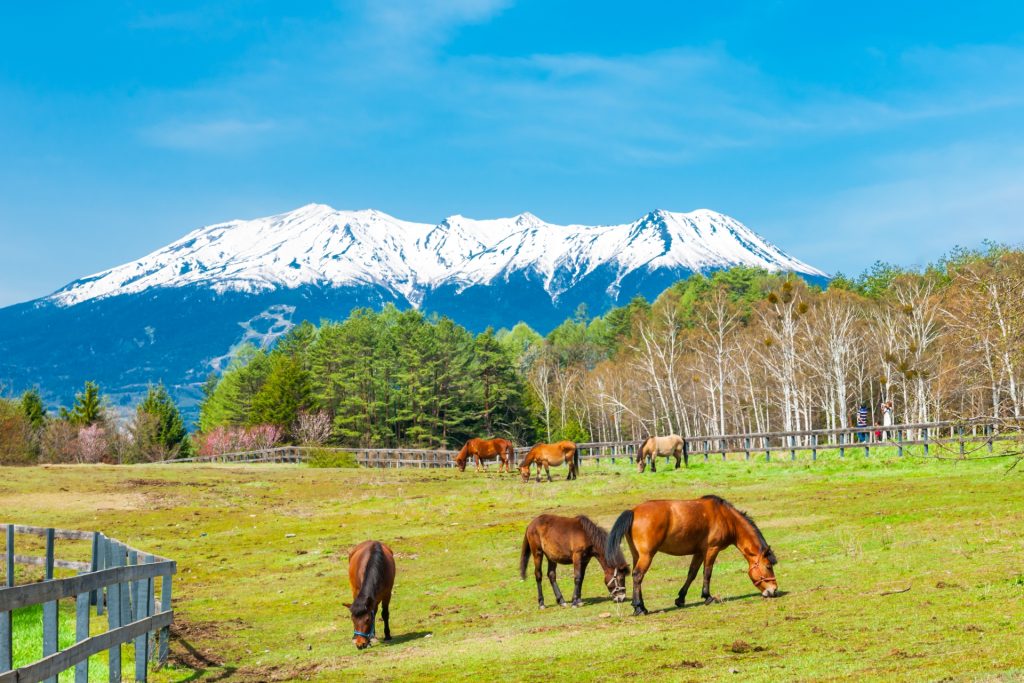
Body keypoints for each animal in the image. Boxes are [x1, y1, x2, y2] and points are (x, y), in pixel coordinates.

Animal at [602, 493, 778, 618]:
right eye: (768, 566)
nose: (774, 590)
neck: (725, 517)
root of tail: (633, 511)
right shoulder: (712, 549)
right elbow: (707, 573)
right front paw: (707, 597)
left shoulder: (699, 552)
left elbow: (691, 574)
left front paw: (681, 598)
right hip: (647, 555)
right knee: (638, 575)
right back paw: (639, 607)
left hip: (637, 555)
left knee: (635, 577)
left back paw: (638, 606)